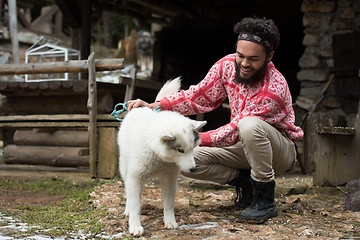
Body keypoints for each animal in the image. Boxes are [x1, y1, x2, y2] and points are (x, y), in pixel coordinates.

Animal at [118, 77, 207, 236]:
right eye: (180, 150)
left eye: (192, 148)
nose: (193, 169)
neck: (160, 157)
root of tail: (141, 108)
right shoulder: (135, 177)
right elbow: (136, 205)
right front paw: (135, 226)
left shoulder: (169, 179)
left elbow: (169, 204)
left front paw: (170, 221)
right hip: (125, 168)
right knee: (128, 191)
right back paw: (127, 209)